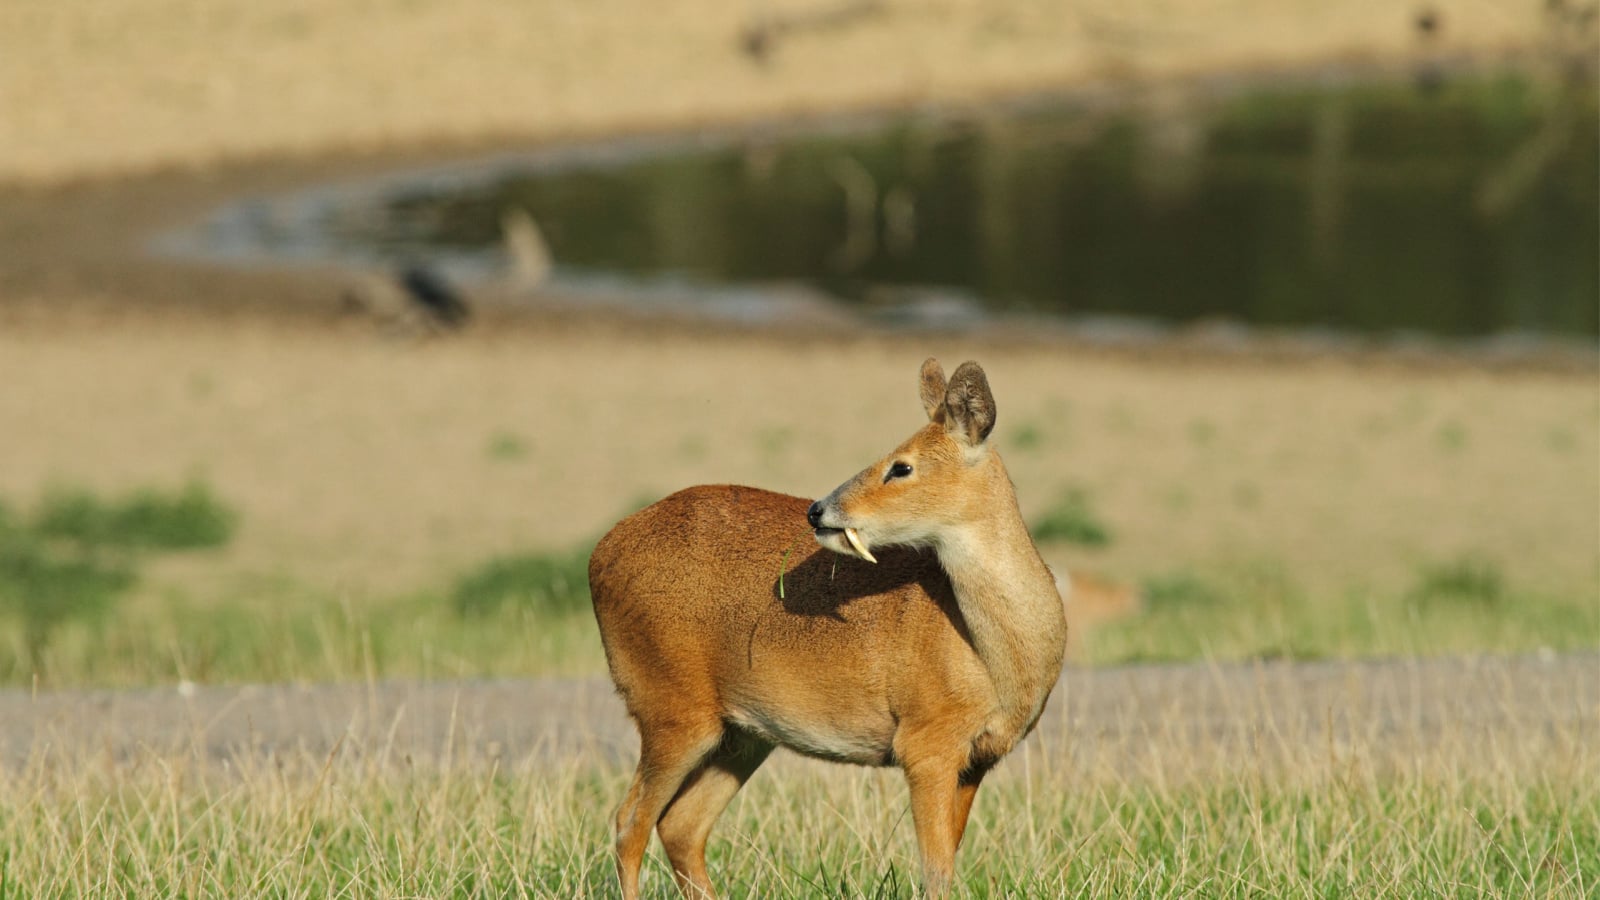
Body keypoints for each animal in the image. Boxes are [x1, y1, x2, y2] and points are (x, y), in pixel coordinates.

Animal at [588, 358, 1069, 899]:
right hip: (669, 706)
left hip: (741, 734)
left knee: (679, 825)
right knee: (630, 822)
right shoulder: (925, 741)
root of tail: (599, 555)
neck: (996, 657)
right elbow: (936, 870)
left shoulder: (977, 758)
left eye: (901, 466)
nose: (818, 510)